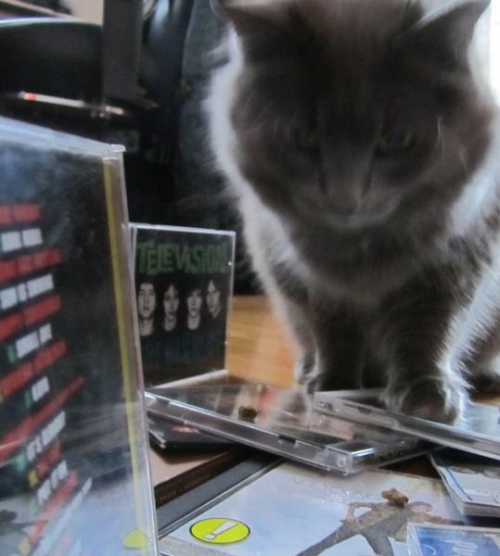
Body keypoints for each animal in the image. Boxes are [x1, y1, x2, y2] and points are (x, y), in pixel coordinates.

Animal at [206, 0, 500, 423]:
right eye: (303, 138)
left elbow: (430, 327)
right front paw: (333, 382)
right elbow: (332, 331)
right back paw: (308, 369)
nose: (343, 199)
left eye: (395, 140)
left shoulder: (460, 255)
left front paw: (426, 394)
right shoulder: (313, 279)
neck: (361, 250)